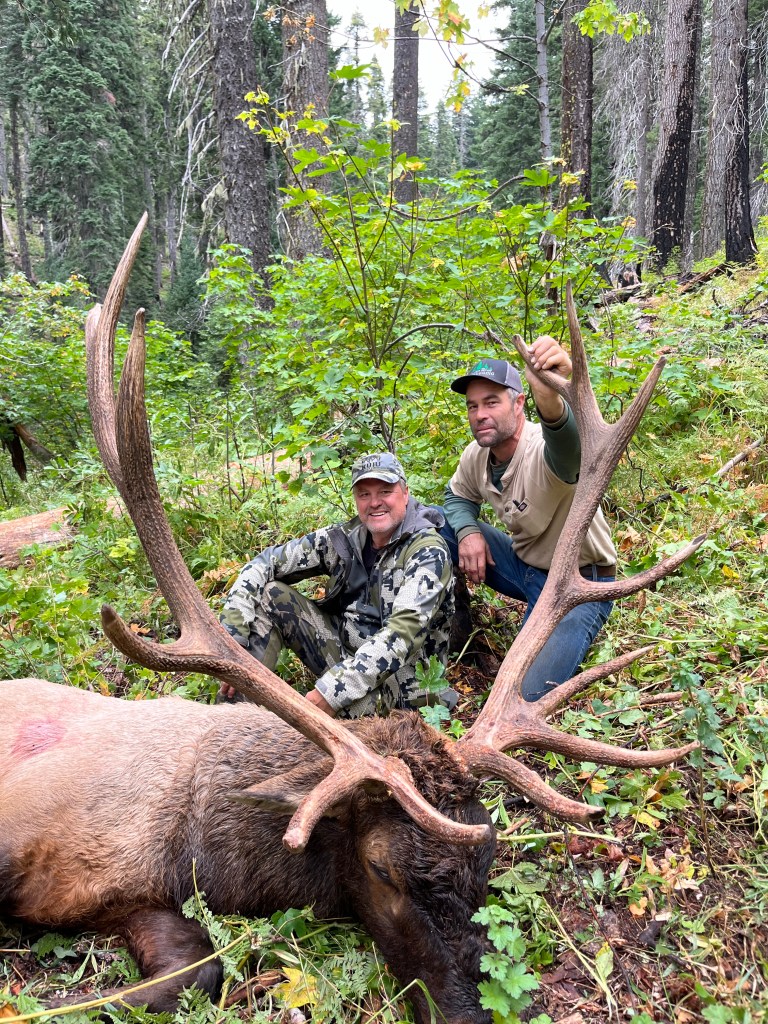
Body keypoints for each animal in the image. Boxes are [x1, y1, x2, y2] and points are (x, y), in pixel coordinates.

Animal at [0, 215, 703, 1024]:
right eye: (382, 870)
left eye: (487, 859)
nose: (467, 1011)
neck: (189, 842)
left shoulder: (140, 897)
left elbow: (197, 969)